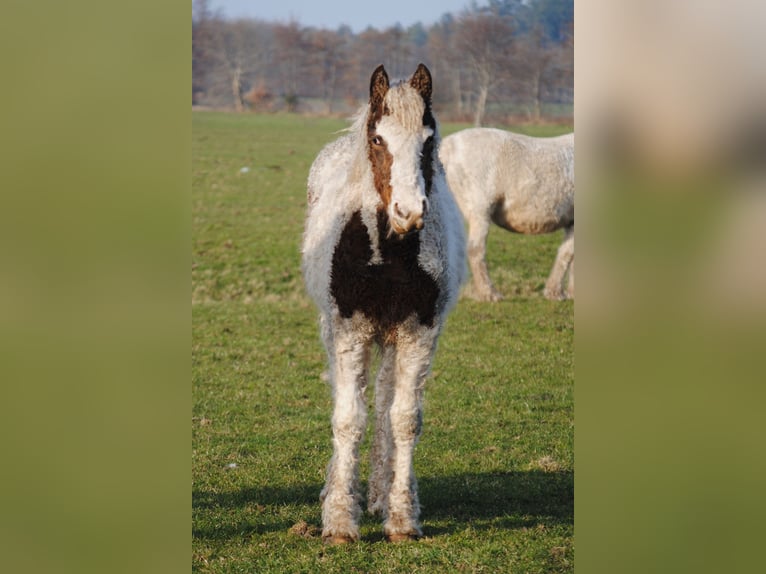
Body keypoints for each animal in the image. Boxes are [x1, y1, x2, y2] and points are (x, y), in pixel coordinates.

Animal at [301, 64, 465, 544]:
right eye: (377, 139)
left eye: (429, 140)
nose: (409, 212)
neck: (389, 254)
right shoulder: (350, 328)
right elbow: (348, 419)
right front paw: (339, 520)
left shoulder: (418, 332)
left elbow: (404, 419)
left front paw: (402, 517)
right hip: (334, 329)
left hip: (393, 340)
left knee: (386, 399)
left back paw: (379, 493)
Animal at [439, 128, 574, 301]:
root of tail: (448, 146)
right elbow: (567, 254)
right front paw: (555, 293)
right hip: (479, 211)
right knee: (475, 250)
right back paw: (489, 294)